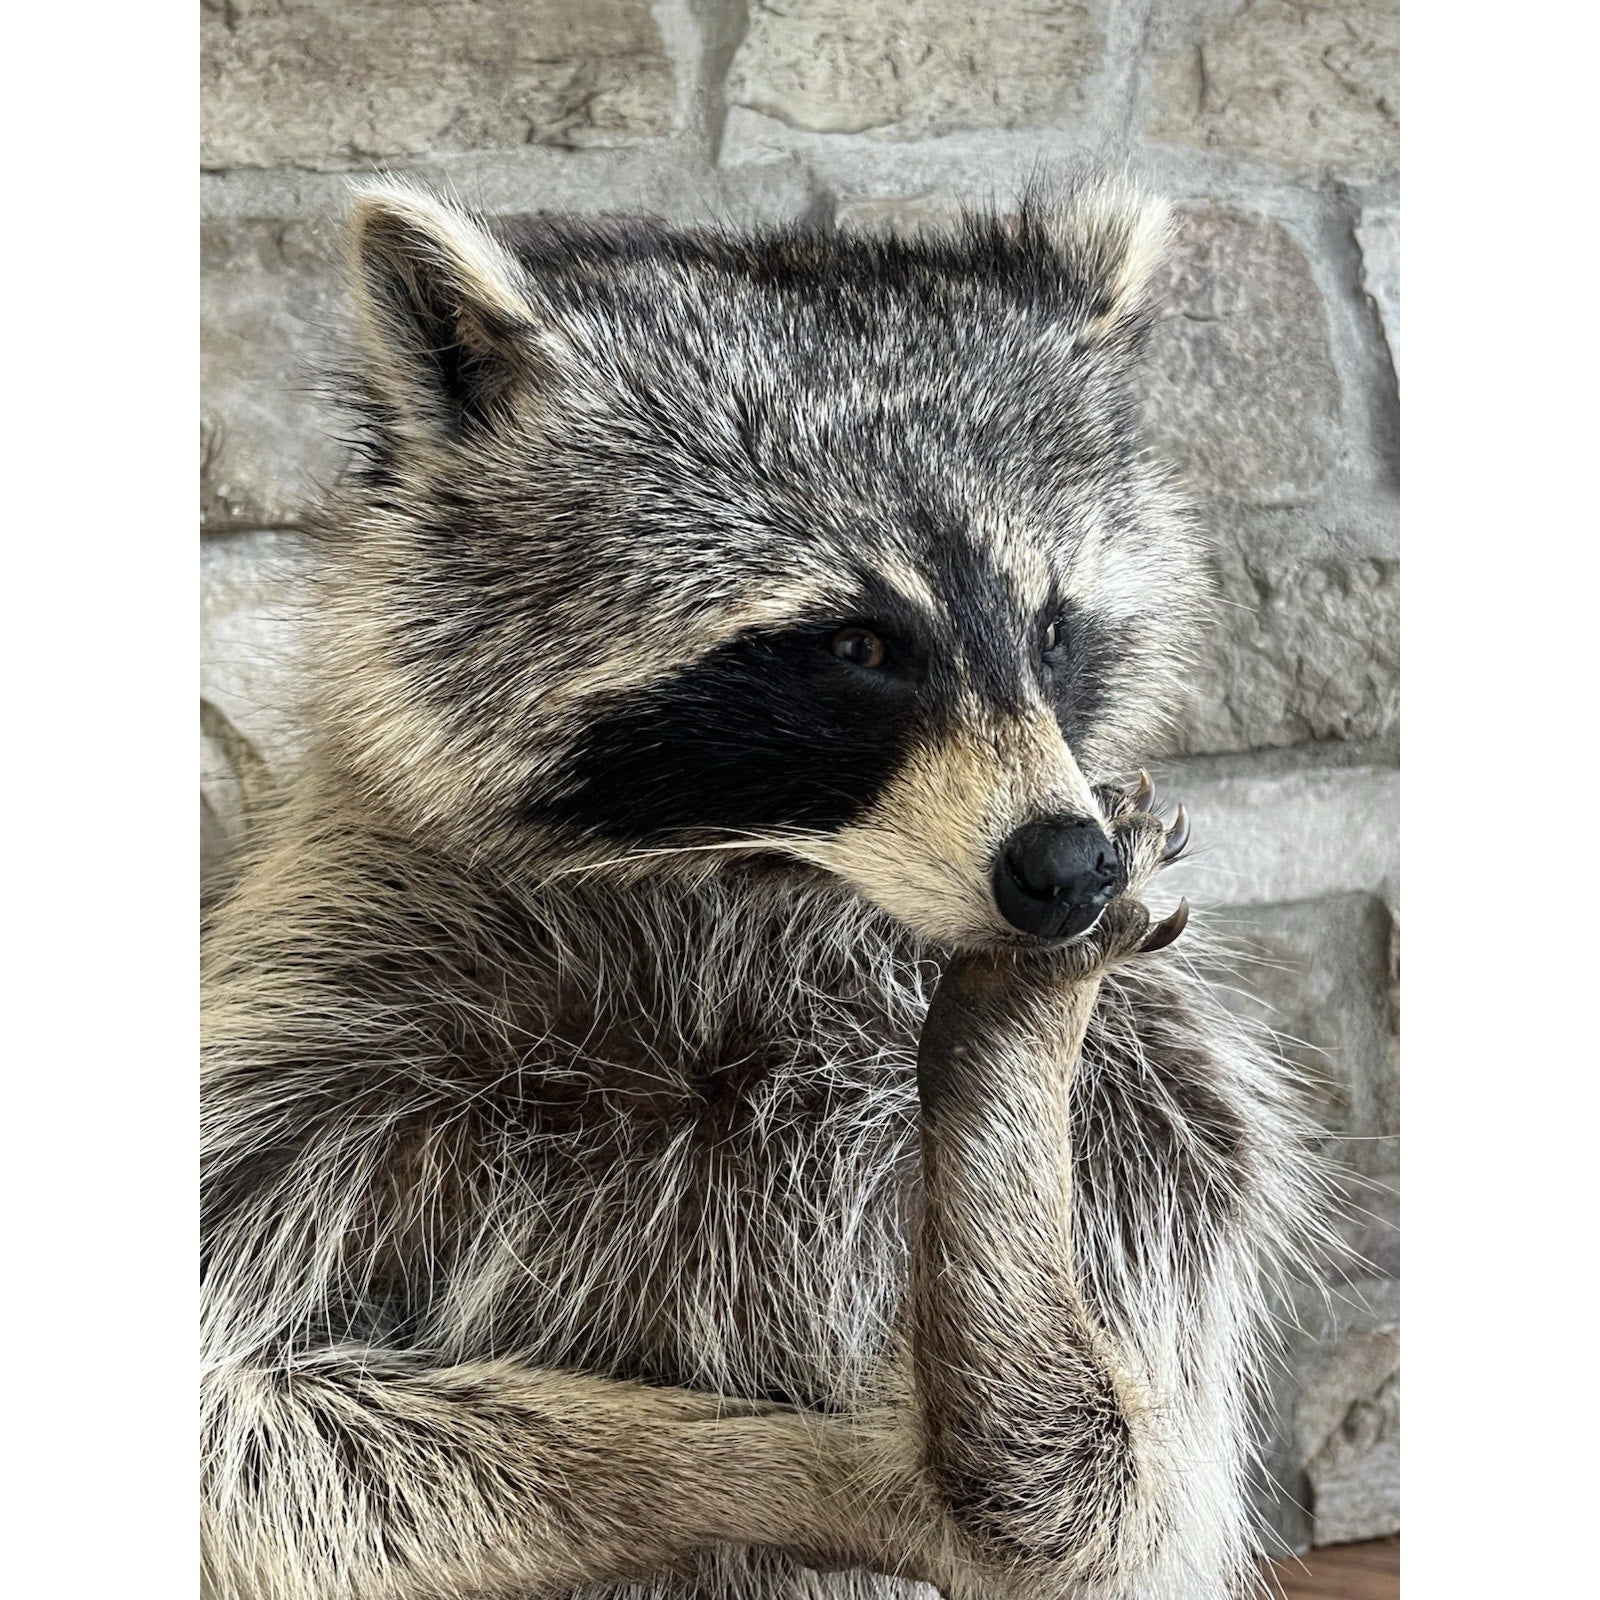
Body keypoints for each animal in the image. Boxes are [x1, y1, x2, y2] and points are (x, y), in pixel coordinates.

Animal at [200, 178, 1331, 1600]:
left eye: (1051, 628)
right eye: (856, 646)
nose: (1067, 870)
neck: (752, 875)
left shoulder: (1160, 1105)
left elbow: (1118, 1489)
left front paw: (1006, 1128)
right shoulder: (331, 986)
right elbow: (244, 1432)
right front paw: (781, 1467)